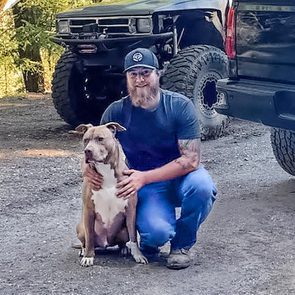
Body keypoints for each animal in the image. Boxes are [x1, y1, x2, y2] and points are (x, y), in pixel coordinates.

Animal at [74, 121, 148, 268]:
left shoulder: (131, 209)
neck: (106, 172)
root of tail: (105, 243)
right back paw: (84, 250)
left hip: (123, 230)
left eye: (100, 139)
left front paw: (138, 255)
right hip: (80, 227)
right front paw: (88, 257)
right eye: (85, 140)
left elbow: (134, 237)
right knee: (86, 241)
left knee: (123, 241)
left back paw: (124, 249)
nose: (87, 151)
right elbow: (89, 238)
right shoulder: (89, 210)